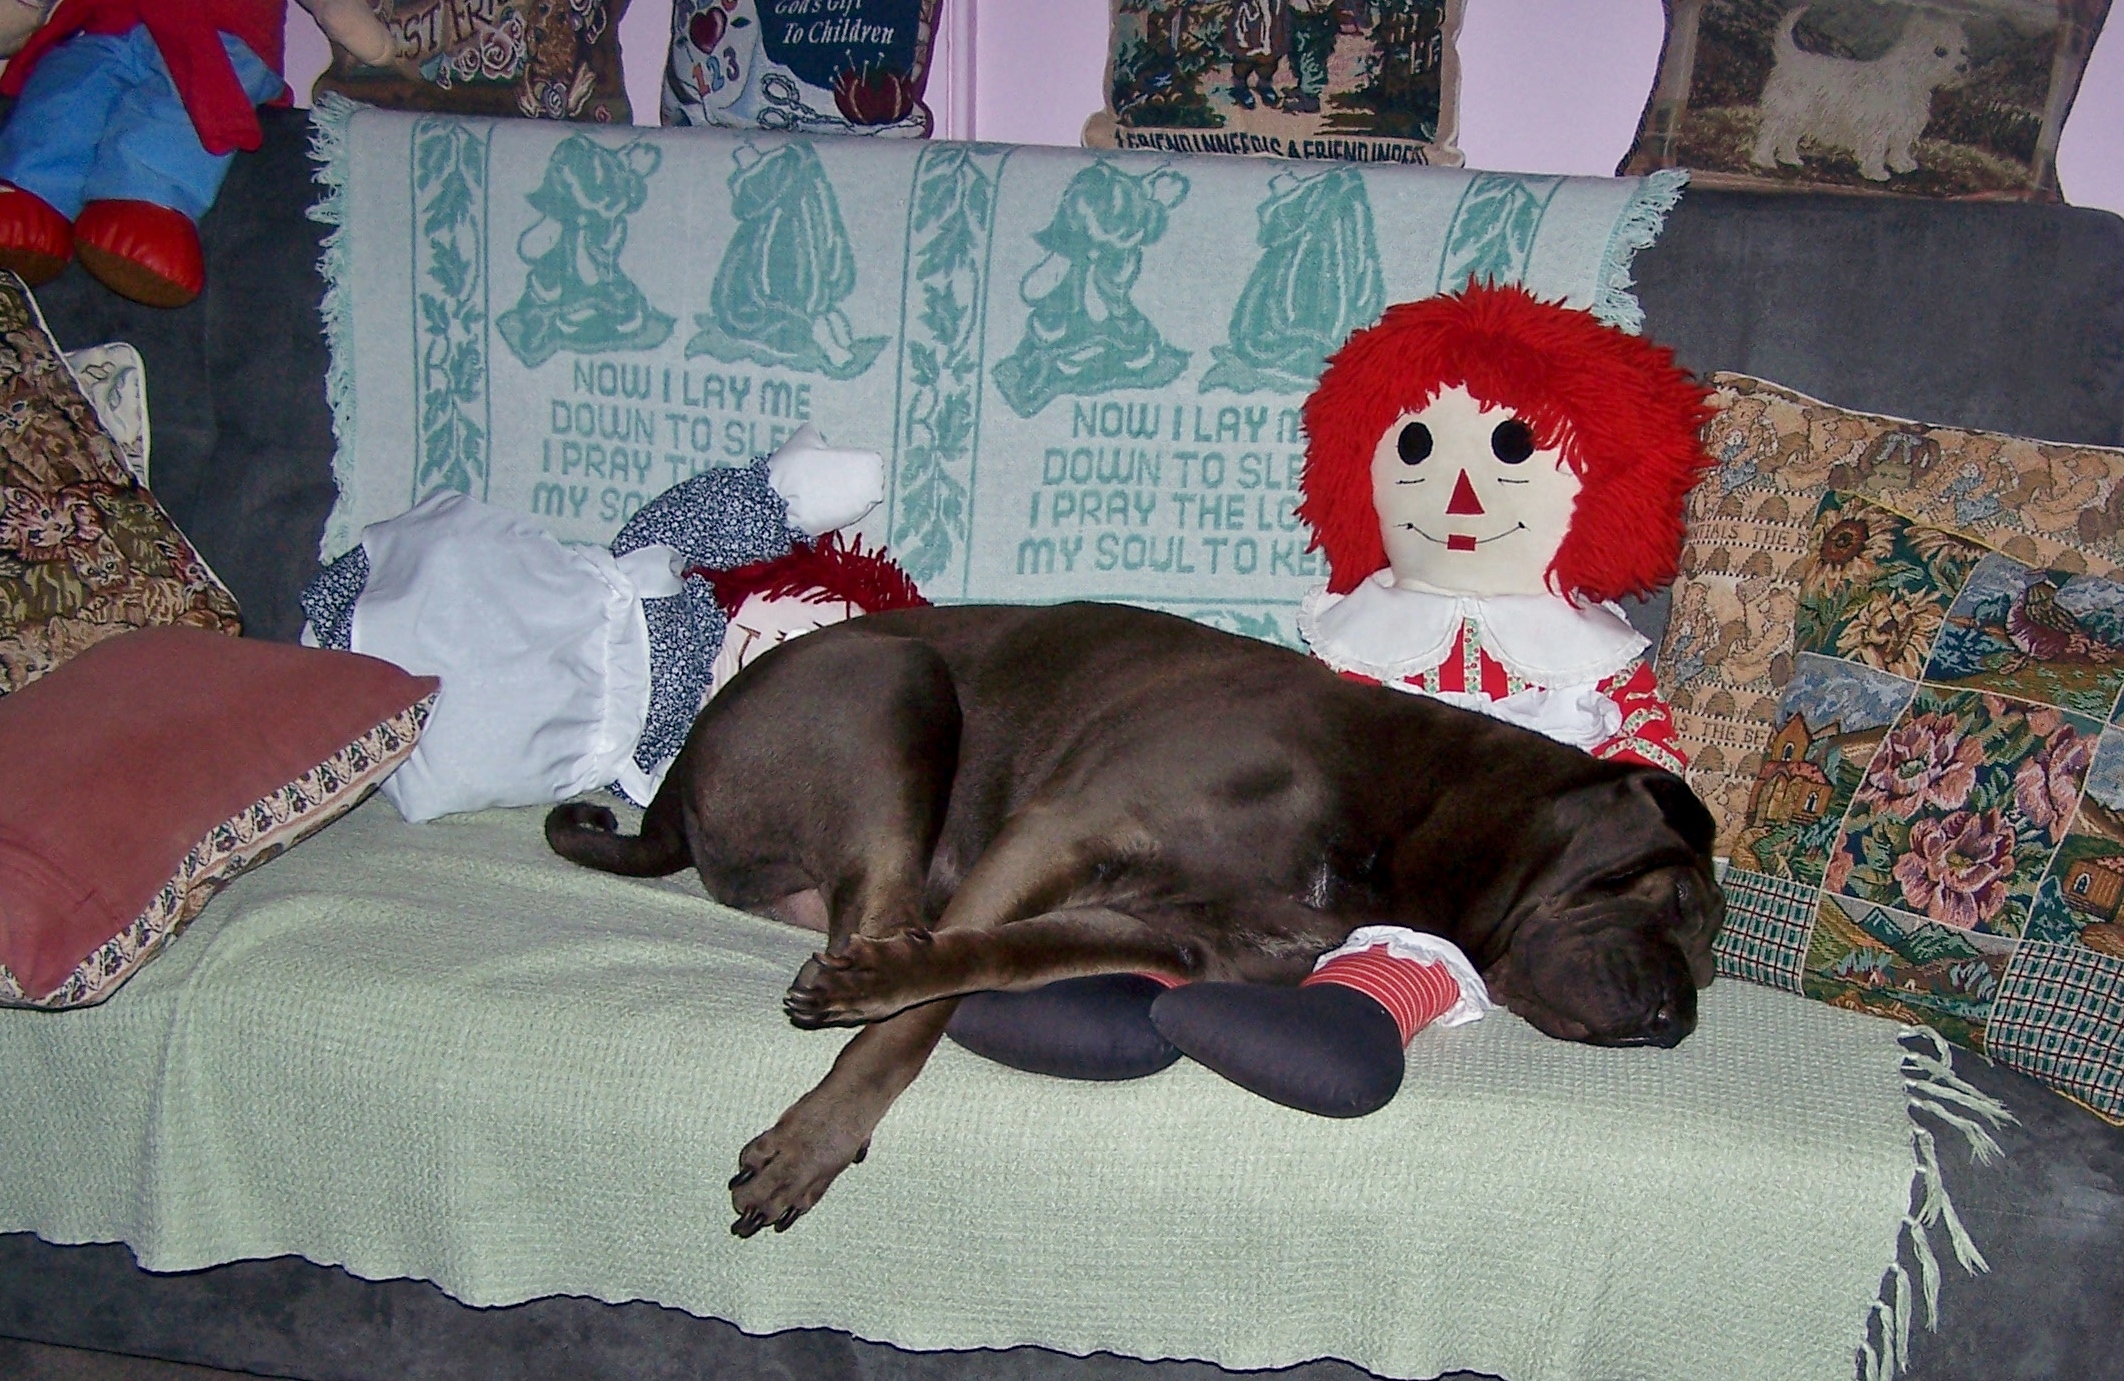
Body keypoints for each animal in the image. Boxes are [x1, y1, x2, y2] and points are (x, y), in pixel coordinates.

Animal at [546, 602, 1723, 1236]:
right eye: (1675, 896)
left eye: (1713, 960)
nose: (1678, 1020)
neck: (1409, 813)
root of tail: (676, 774)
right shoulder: (1063, 829)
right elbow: (912, 1023)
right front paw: (820, 1131)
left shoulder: (1165, 929)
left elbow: (990, 959)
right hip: (897, 684)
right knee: (869, 911)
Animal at [1750, 6, 1968, 182]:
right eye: (1940, 51)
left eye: (1963, 50)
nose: (1964, 67)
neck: (1910, 79)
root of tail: (1791, 57)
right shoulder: (1877, 129)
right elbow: (1876, 151)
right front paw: (1876, 173)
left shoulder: (1904, 129)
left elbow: (1899, 148)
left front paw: (1903, 165)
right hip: (1786, 112)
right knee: (1769, 134)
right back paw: (1764, 160)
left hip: (1801, 118)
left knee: (1787, 138)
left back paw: (1791, 159)